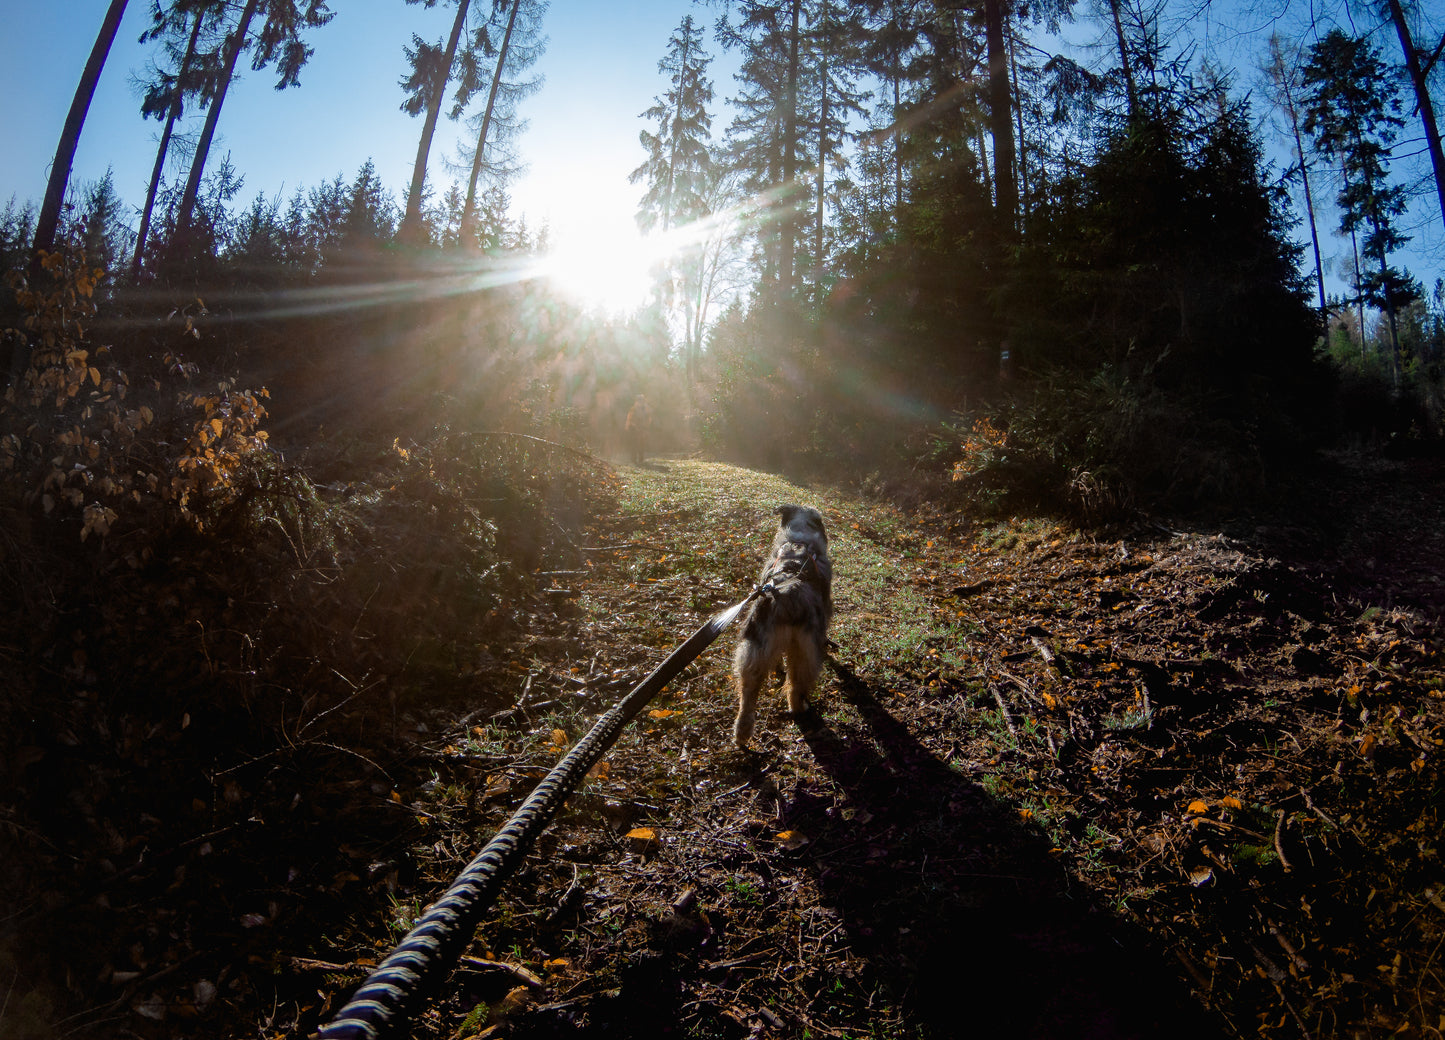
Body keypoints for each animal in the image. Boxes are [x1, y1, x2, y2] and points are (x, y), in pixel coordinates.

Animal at [734, 502, 838, 745]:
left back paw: (742, 734)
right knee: (796, 686)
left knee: (748, 694)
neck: (799, 540)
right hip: (804, 651)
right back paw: (800, 708)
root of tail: (784, 596)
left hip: (753, 650)